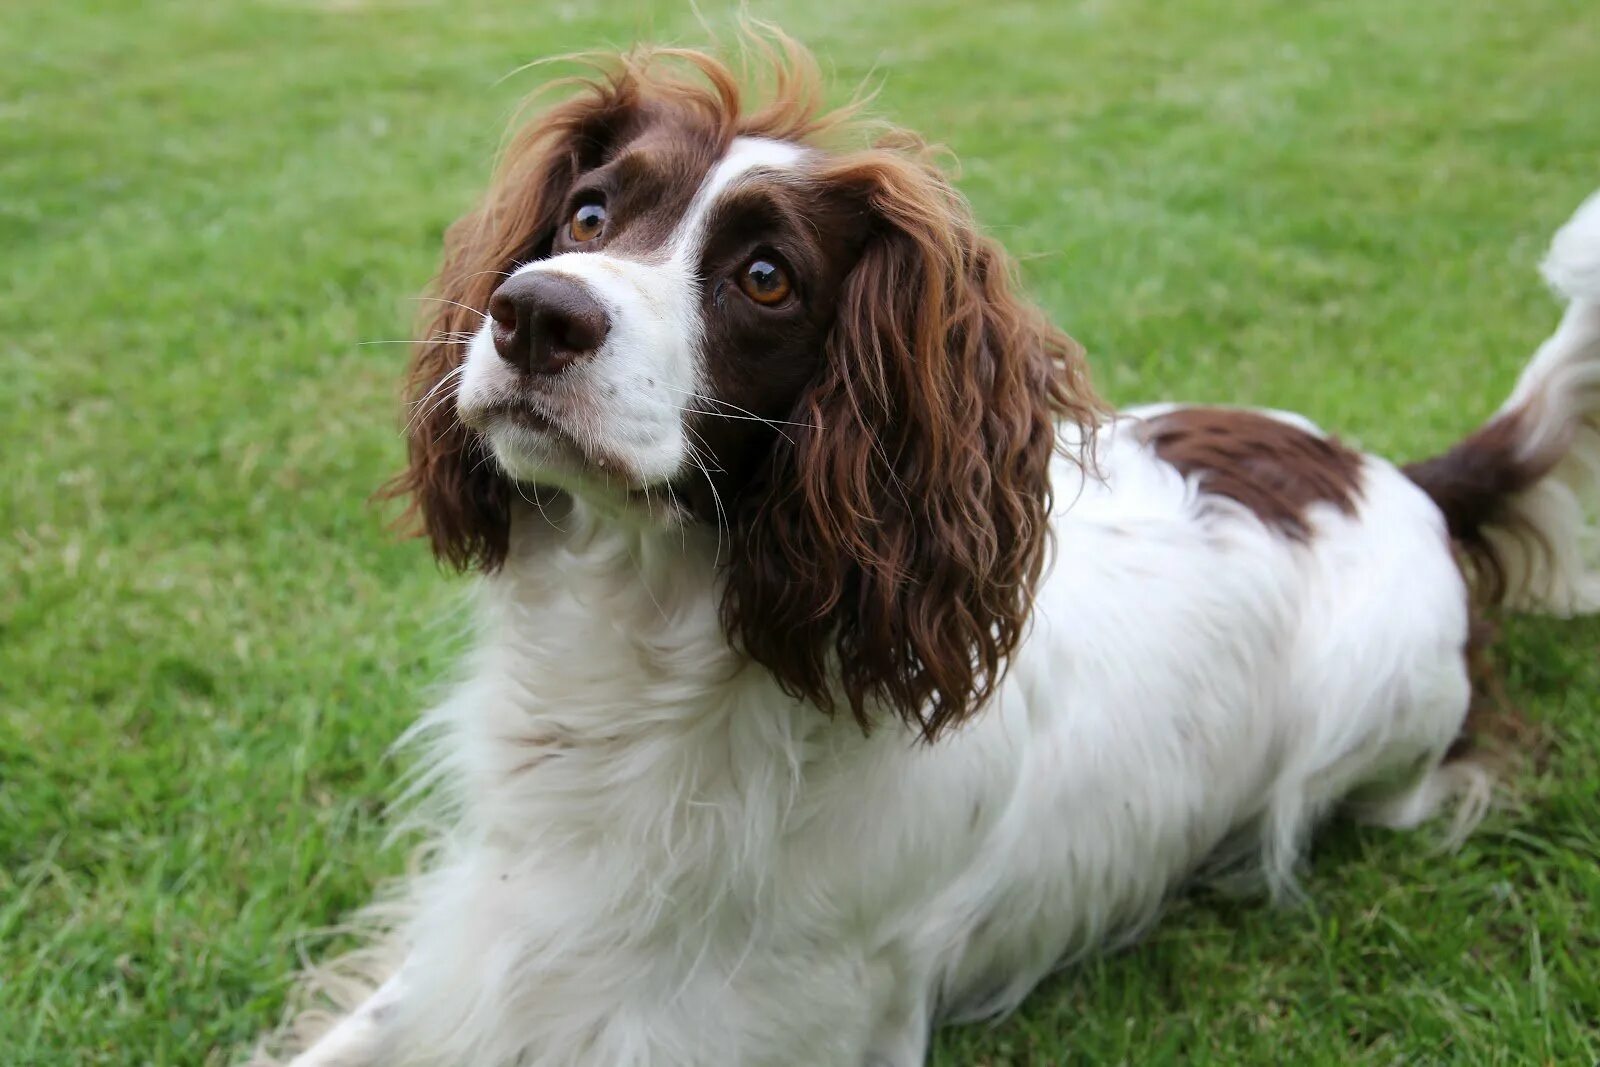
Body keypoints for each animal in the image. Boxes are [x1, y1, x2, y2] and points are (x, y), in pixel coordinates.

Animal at [256, 35, 1600, 1067]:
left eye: (765, 276)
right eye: (587, 211)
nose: (534, 311)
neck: (636, 668)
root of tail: (1398, 477)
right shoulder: (481, 940)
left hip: (1377, 734)